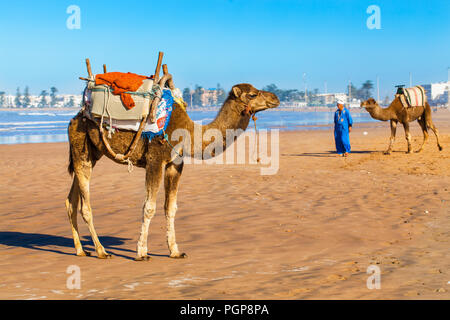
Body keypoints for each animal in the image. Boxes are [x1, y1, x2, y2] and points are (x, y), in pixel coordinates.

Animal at [65, 83, 280, 260]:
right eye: (253, 94)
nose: (275, 98)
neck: (189, 132)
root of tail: (74, 119)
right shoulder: (155, 159)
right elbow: (149, 207)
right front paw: (141, 252)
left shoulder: (175, 164)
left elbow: (171, 208)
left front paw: (175, 251)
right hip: (80, 147)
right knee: (85, 205)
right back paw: (101, 251)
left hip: (91, 153)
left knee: (71, 200)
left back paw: (81, 250)